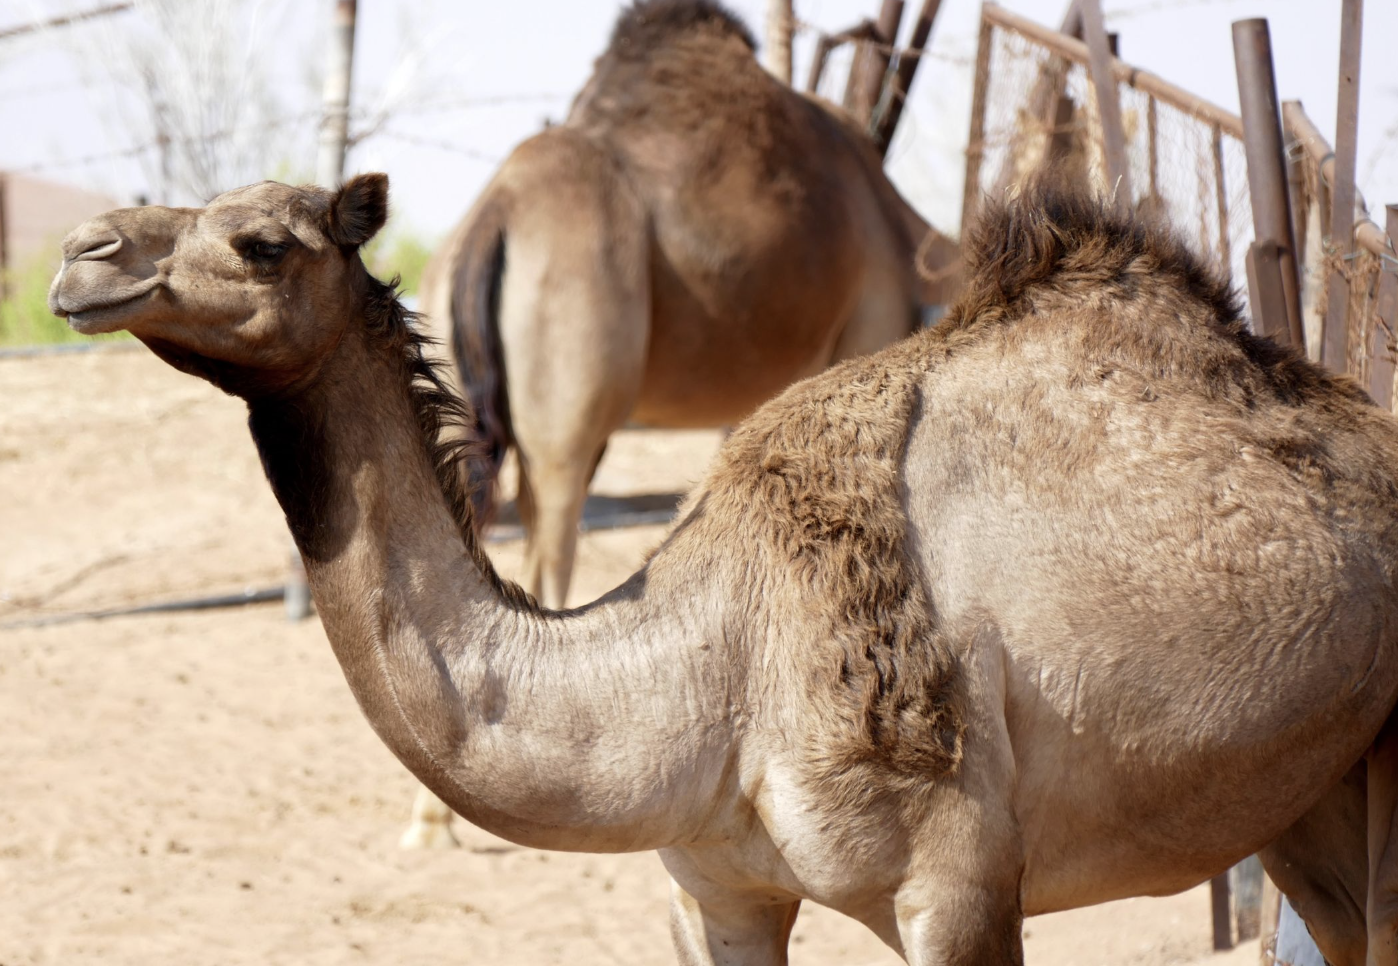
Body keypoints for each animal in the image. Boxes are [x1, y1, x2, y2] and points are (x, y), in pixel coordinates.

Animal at [50, 173, 1398, 965]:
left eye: (260, 242)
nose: (81, 251)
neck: (715, 666)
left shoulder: (959, 883)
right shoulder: (711, 891)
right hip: (1305, 786)